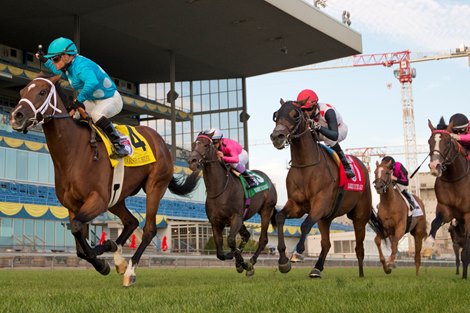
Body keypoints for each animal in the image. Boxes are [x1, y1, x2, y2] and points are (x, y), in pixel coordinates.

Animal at [8, 75, 200, 286]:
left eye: (42, 92)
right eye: (22, 91)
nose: (16, 116)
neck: (74, 151)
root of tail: (162, 143)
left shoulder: (98, 199)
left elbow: (79, 231)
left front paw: (102, 261)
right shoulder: (72, 206)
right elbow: (78, 241)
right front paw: (103, 257)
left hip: (154, 187)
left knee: (149, 229)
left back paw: (129, 270)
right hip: (116, 198)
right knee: (131, 221)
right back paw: (117, 255)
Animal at [186, 132, 278, 276]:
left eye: (206, 145)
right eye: (194, 144)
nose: (192, 161)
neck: (220, 189)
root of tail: (269, 180)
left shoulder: (235, 217)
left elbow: (230, 240)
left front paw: (242, 263)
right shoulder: (215, 222)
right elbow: (220, 252)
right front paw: (236, 260)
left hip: (266, 211)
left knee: (263, 239)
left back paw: (250, 263)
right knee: (246, 235)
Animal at [270, 98, 384, 276]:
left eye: (295, 115)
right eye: (276, 115)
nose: (277, 137)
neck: (305, 166)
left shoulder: (320, 203)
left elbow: (305, 225)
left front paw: (297, 253)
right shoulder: (296, 205)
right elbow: (280, 217)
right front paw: (283, 261)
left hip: (360, 215)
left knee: (359, 247)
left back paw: (361, 274)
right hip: (326, 218)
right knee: (327, 244)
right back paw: (317, 269)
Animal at [428, 119, 470, 278]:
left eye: (447, 142)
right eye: (429, 141)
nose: (434, 166)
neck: (455, 179)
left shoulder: (468, 215)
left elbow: (466, 252)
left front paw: (464, 276)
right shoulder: (445, 210)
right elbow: (434, 223)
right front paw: (428, 242)